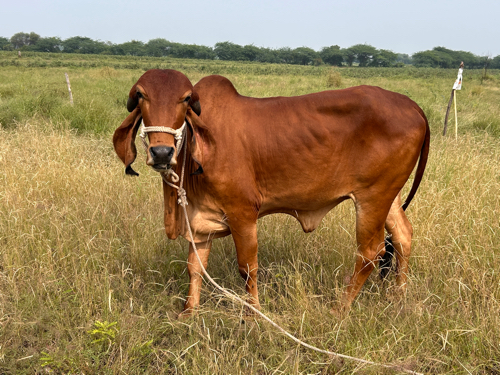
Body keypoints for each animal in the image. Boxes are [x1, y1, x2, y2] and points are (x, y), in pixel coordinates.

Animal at [113, 69, 430, 316]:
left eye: (186, 99)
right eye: (141, 96)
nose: (162, 152)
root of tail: (412, 105)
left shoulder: (242, 213)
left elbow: (247, 267)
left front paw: (253, 315)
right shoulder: (198, 219)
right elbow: (195, 267)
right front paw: (189, 312)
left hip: (372, 197)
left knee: (370, 252)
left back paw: (339, 309)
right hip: (388, 196)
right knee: (403, 235)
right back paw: (399, 299)